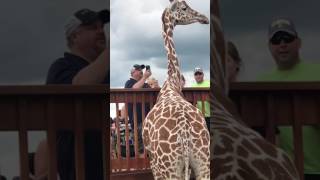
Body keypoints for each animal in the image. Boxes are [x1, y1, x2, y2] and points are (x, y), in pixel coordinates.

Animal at [142, 0, 210, 179]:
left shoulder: (154, 163)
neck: (172, 84)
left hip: (169, 168)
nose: (204, 17)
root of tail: (185, 134)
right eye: (184, 7)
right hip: (202, 162)